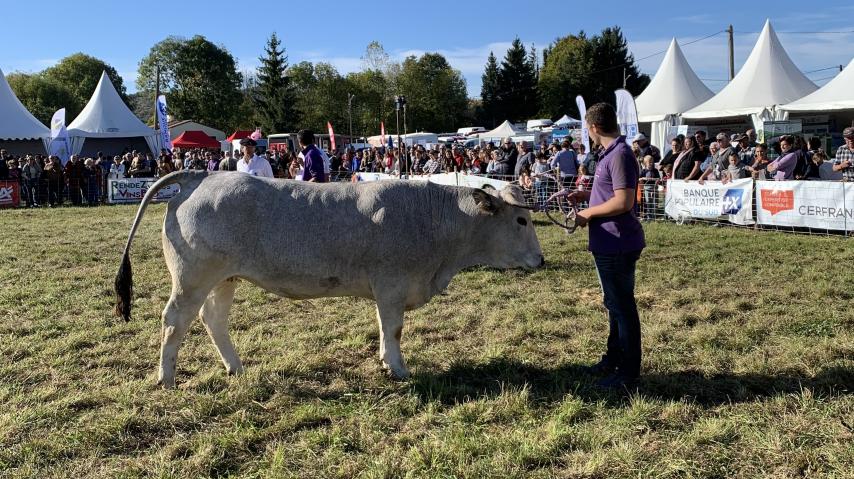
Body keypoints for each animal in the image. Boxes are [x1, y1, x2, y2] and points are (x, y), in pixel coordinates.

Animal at [114, 170, 544, 389]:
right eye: (522, 220)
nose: (540, 259)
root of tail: (202, 176)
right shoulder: (392, 284)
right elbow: (394, 329)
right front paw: (398, 369)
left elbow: (385, 328)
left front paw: (387, 363)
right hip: (192, 279)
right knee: (174, 322)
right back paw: (167, 378)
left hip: (225, 278)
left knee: (212, 320)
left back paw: (236, 368)